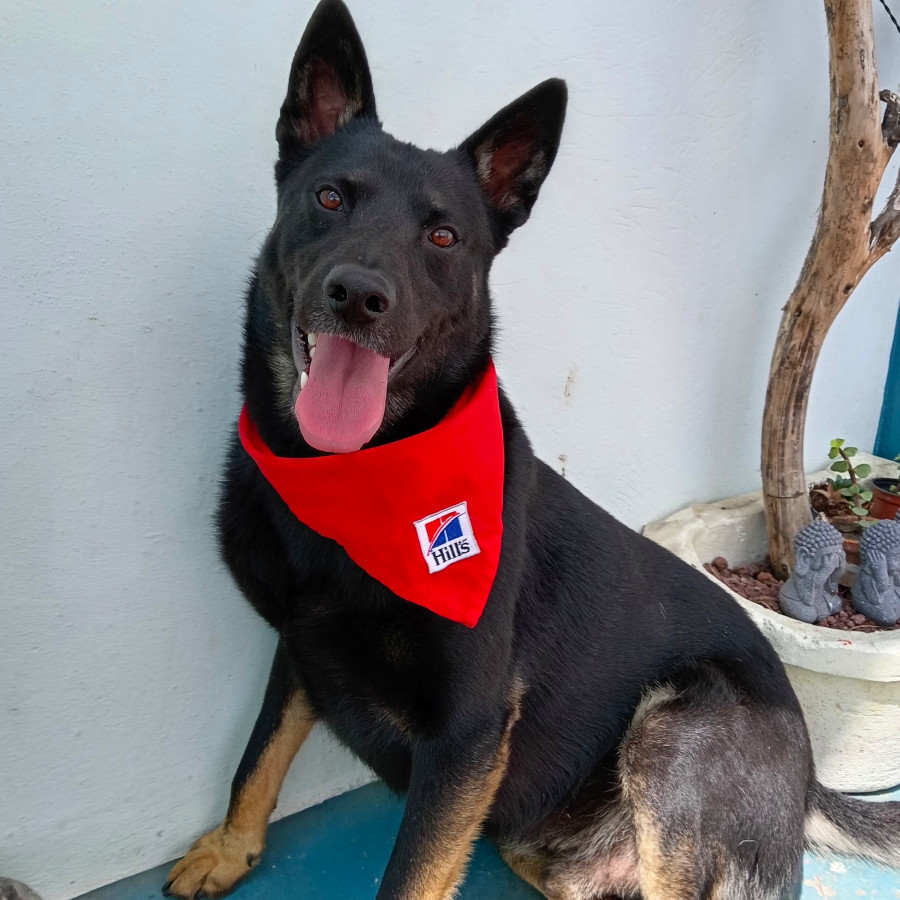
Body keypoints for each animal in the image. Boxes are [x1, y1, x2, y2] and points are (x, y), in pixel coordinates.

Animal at [165, 3, 900, 896]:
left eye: (444, 236)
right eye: (329, 197)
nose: (357, 297)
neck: (352, 474)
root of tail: (807, 782)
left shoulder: (466, 735)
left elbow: (408, 872)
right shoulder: (301, 646)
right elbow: (259, 753)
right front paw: (228, 848)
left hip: (675, 734)